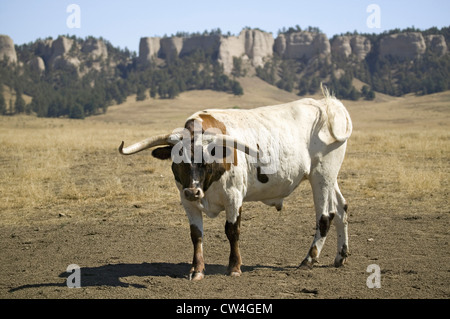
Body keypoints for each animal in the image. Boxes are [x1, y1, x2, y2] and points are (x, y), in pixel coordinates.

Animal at [118, 85, 352, 282]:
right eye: (178, 158)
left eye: (206, 159)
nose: (193, 191)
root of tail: (327, 106)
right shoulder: (187, 202)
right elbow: (196, 234)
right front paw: (197, 270)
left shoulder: (234, 196)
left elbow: (232, 231)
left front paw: (234, 267)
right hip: (331, 177)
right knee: (341, 208)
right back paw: (341, 256)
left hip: (321, 175)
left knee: (325, 216)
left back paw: (308, 260)